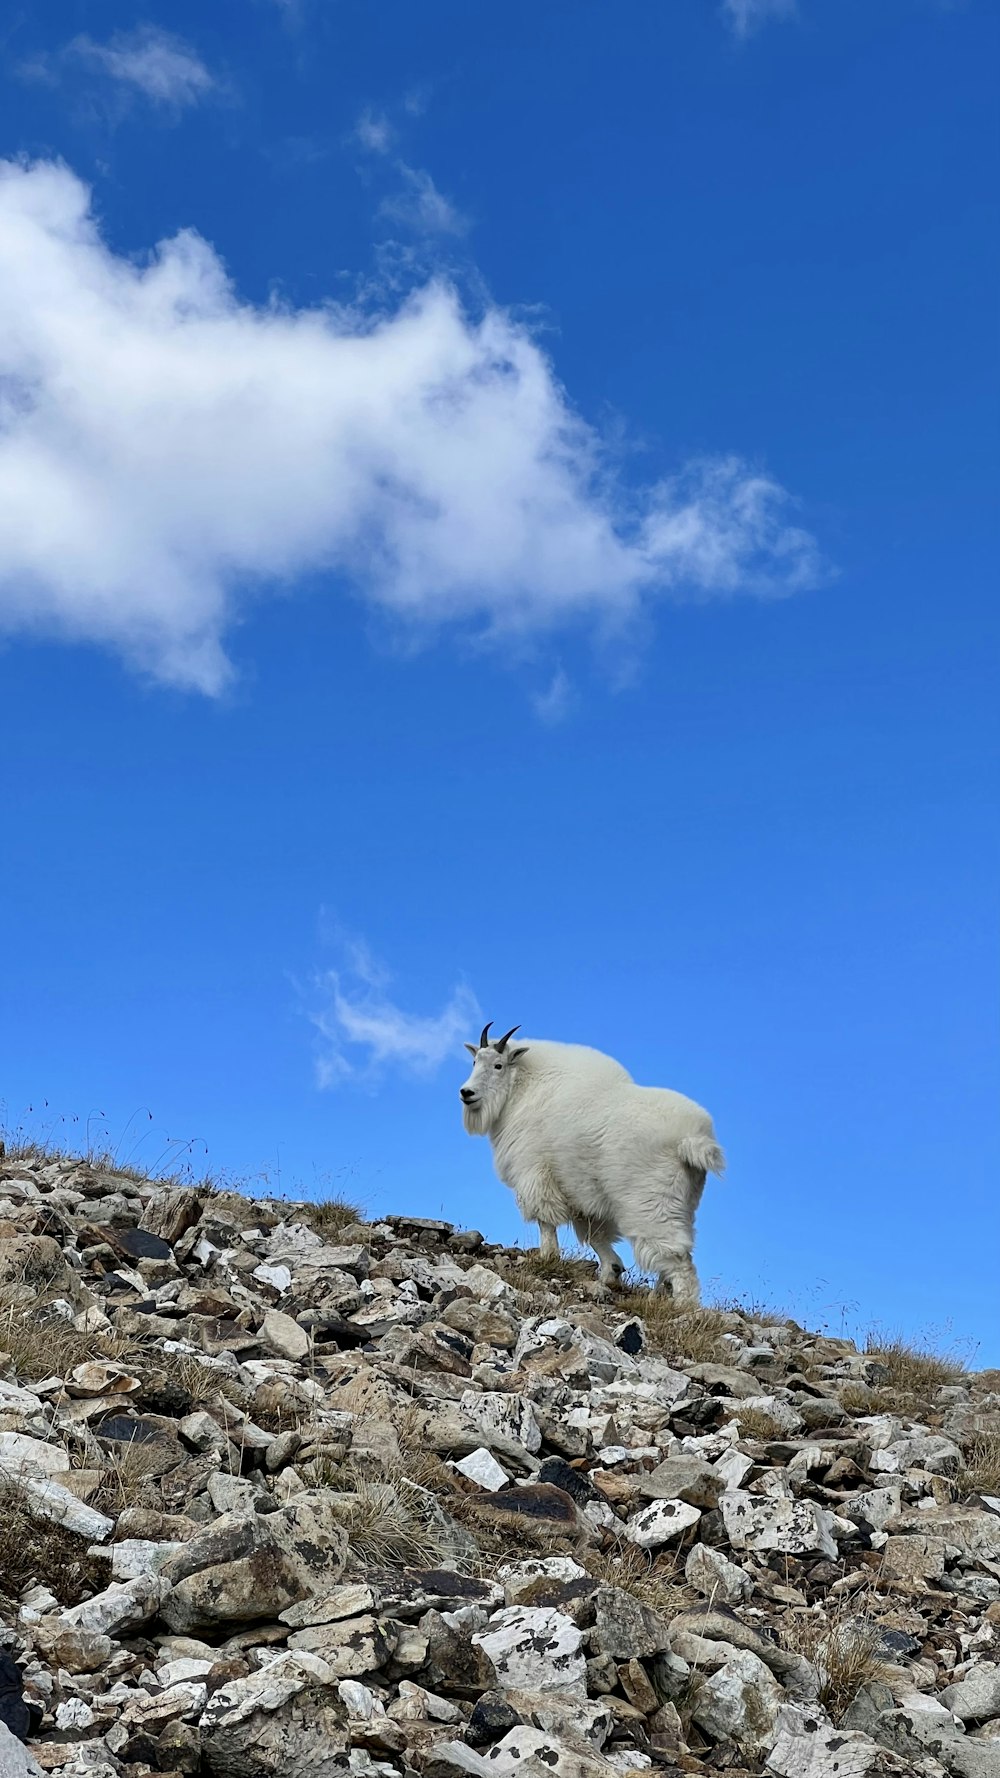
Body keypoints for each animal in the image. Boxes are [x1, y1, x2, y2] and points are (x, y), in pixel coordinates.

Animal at [459, 1024, 722, 1301]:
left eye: (498, 1065)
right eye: (475, 1061)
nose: (467, 1093)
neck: (523, 1088)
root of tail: (693, 1138)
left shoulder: (535, 1172)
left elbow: (546, 1220)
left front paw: (548, 1257)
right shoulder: (581, 1190)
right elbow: (594, 1232)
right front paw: (611, 1272)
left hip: (651, 1204)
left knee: (678, 1259)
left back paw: (681, 1304)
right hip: (683, 1203)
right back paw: (657, 1295)